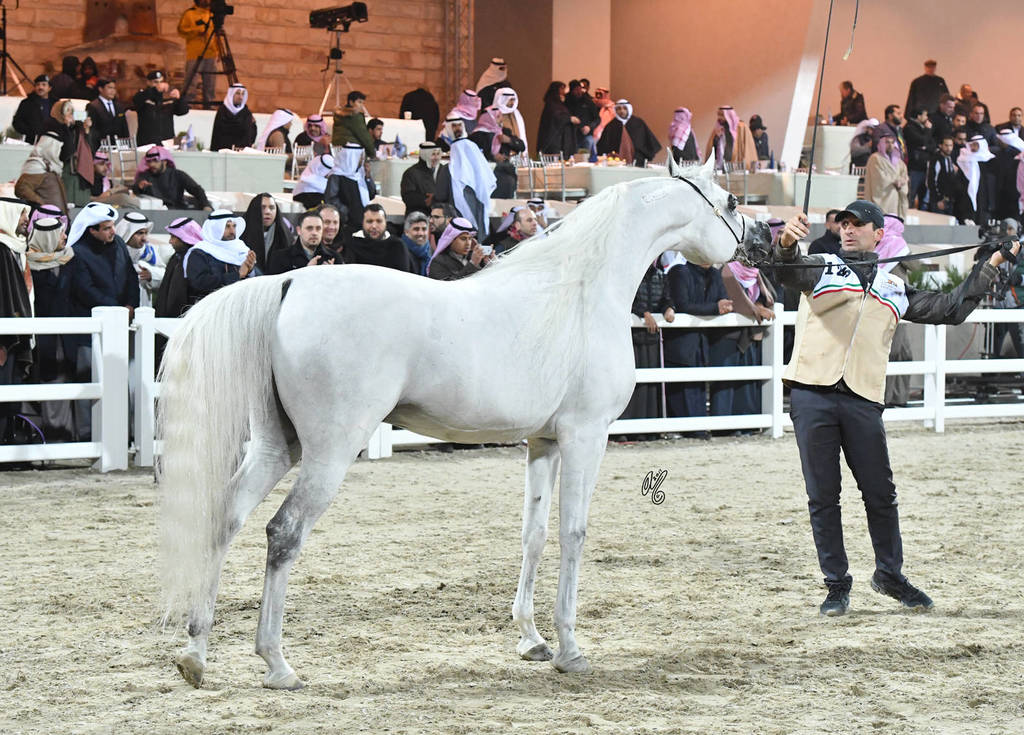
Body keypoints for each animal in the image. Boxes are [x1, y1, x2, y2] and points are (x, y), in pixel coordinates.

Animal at [157, 153, 771, 690]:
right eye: (729, 200)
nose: (761, 240)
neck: (578, 293)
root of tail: (288, 284)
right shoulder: (585, 436)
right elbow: (573, 533)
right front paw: (569, 650)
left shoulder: (543, 443)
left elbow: (534, 533)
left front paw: (531, 640)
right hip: (329, 452)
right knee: (283, 533)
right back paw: (277, 664)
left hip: (276, 446)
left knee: (225, 518)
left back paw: (195, 653)